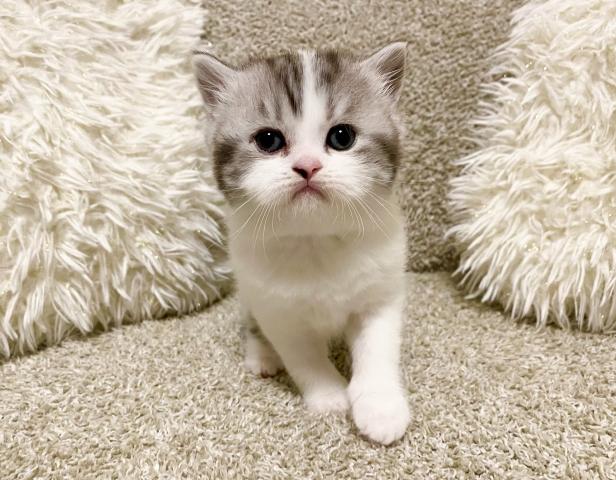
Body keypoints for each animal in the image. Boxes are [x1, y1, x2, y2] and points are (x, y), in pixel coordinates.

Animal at [193, 43, 410, 445]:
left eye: (342, 137)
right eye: (268, 140)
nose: (307, 165)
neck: (314, 239)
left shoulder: (380, 294)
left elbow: (377, 350)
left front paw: (381, 408)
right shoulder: (277, 310)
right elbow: (305, 358)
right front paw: (329, 396)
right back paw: (261, 355)